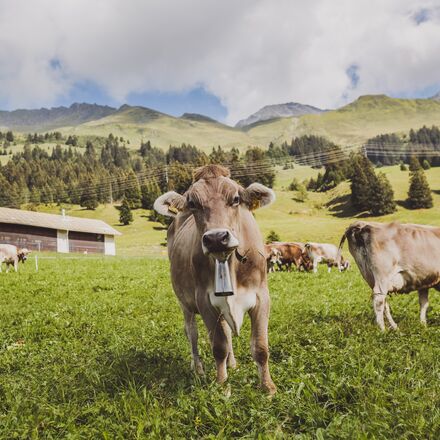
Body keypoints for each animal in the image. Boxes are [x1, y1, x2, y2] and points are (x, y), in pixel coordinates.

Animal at [154, 165, 276, 396]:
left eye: (236, 199)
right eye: (193, 203)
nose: (216, 238)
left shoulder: (261, 296)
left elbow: (261, 347)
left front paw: (267, 387)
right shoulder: (204, 300)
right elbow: (218, 346)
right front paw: (222, 385)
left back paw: (233, 363)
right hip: (185, 303)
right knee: (192, 333)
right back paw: (199, 369)